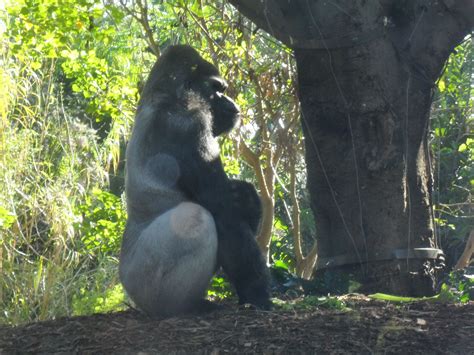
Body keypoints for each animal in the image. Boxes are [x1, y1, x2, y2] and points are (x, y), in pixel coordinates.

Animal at [119, 43, 270, 318]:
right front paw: (257, 293)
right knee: (195, 217)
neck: (164, 95)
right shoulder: (190, 123)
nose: (231, 102)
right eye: (216, 88)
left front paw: (246, 197)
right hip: (143, 285)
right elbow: (226, 216)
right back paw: (181, 308)